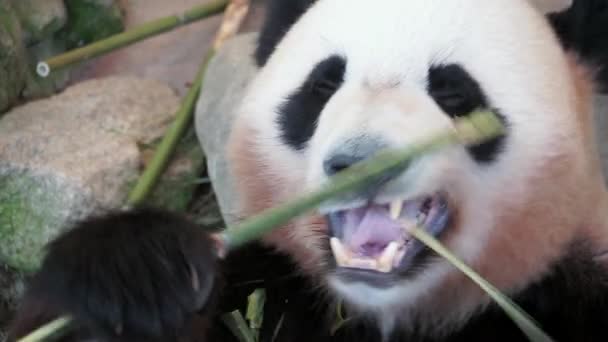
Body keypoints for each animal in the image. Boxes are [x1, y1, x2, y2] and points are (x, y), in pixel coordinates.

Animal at [7, 0, 608, 340]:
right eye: (323, 85)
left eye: (453, 91)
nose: (360, 162)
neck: (384, 311)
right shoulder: (271, 279)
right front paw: (137, 269)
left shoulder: (562, 289)